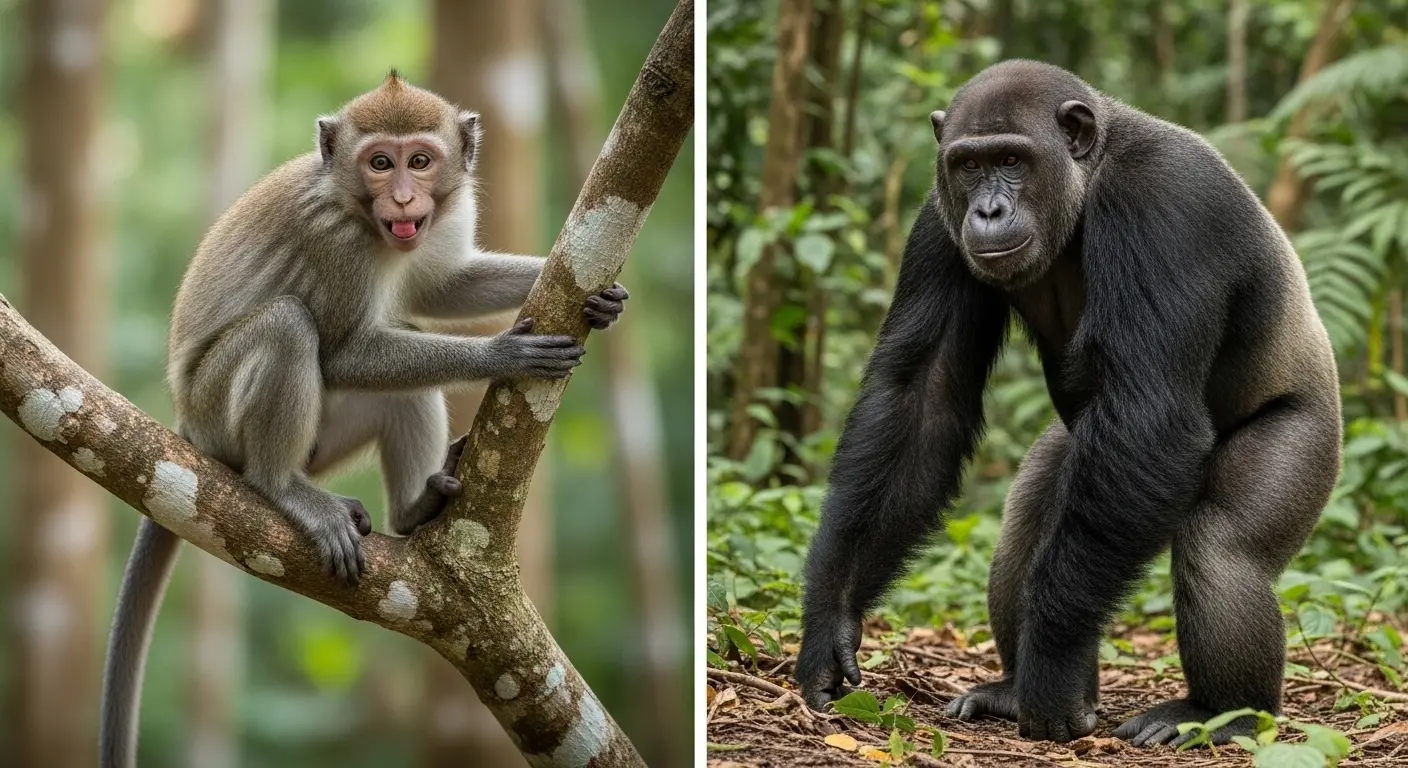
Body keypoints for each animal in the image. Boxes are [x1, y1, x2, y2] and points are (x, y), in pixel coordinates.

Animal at [99, 72, 629, 767]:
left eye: (420, 161)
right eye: (380, 163)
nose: (403, 197)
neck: (357, 210)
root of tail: (186, 424)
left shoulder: (444, 217)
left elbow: (440, 287)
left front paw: (590, 292)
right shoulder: (336, 241)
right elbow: (342, 351)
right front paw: (501, 353)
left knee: (400, 389)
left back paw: (414, 511)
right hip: (217, 413)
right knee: (288, 326)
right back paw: (282, 487)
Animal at [795, 60, 1341, 747]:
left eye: (1011, 159)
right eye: (969, 165)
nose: (989, 207)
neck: (1089, 176)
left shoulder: (1165, 205)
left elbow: (1149, 419)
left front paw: (1052, 670)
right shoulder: (935, 223)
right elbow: (920, 401)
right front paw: (831, 617)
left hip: (1309, 442)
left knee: (1220, 548)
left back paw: (1222, 711)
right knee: (1032, 522)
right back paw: (1011, 688)